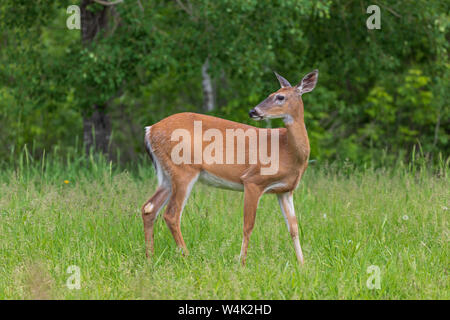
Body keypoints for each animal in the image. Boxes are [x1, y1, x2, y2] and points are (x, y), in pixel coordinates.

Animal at [141, 69, 316, 264]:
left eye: (280, 96)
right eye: (270, 94)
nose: (253, 111)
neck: (288, 151)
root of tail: (150, 130)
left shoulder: (285, 190)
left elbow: (293, 228)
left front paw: (302, 264)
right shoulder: (253, 180)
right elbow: (248, 225)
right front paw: (242, 263)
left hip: (166, 174)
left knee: (149, 208)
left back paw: (150, 258)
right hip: (183, 169)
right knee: (171, 214)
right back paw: (187, 257)